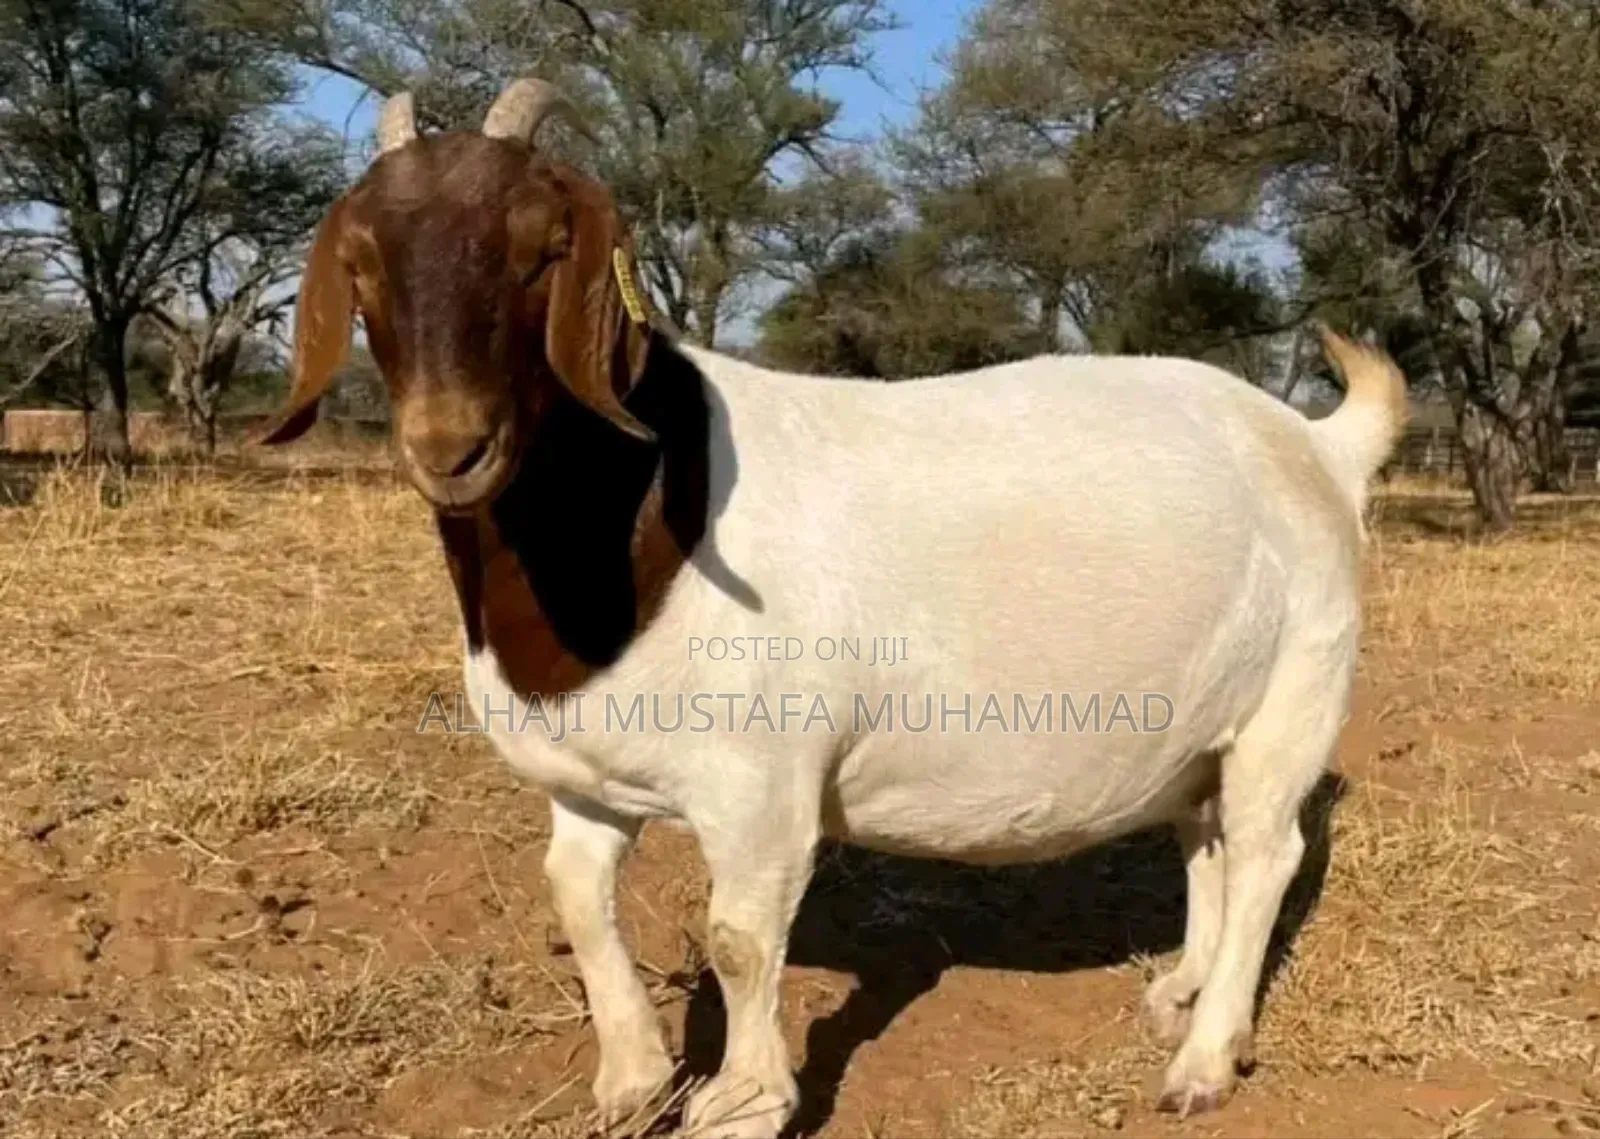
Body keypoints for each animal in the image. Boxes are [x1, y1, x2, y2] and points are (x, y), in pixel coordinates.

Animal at [260, 78, 1409, 1139]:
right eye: (361, 262)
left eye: (543, 248)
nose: (448, 446)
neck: (648, 510)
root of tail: (1317, 444)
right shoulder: (582, 777)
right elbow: (577, 897)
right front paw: (633, 1079)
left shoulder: (761, 781)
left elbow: (737, 935)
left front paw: (740, 1104)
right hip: (1197, 725)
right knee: (1205, 839)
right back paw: (1182, 989)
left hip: (1296, 691)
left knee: (1263, 852)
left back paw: (1205, 1058)